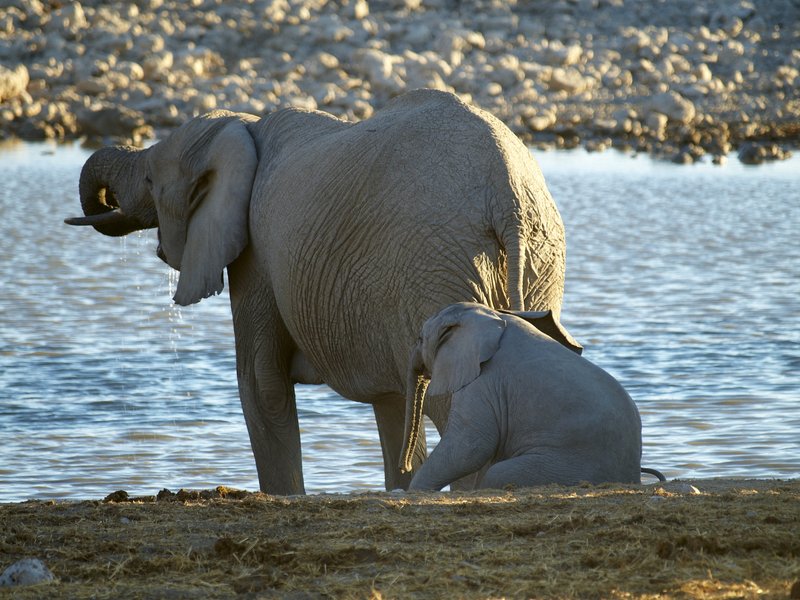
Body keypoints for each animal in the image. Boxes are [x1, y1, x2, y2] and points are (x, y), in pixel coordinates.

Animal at [65, 89, 568, 495]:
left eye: (152, 181)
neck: (242, 127)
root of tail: (506, 195)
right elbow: (395, 400)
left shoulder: (258, 254)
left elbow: (260, 383)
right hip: (534, 260)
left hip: (438, 261)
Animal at [400, 302, 646, 490]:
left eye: (420, 338)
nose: (406, 467)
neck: (494, 315)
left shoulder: (484, 381)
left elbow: (470, 446)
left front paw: (416, 492)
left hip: (562, 467)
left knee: (497, 473)